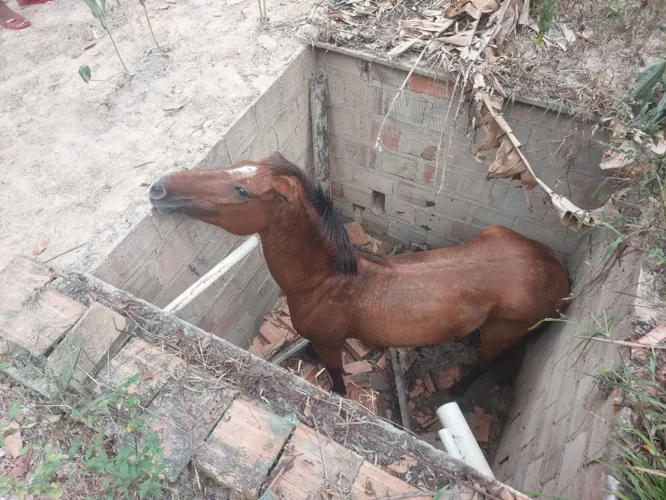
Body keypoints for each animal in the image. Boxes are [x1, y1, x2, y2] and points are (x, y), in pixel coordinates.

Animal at [148, 151, 568, 394]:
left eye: (240, 191)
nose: (159, 188)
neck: (324, 281)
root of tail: (558, 273)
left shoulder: (331, 344)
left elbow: (337, 379)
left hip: (501, 334)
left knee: (484, 366)